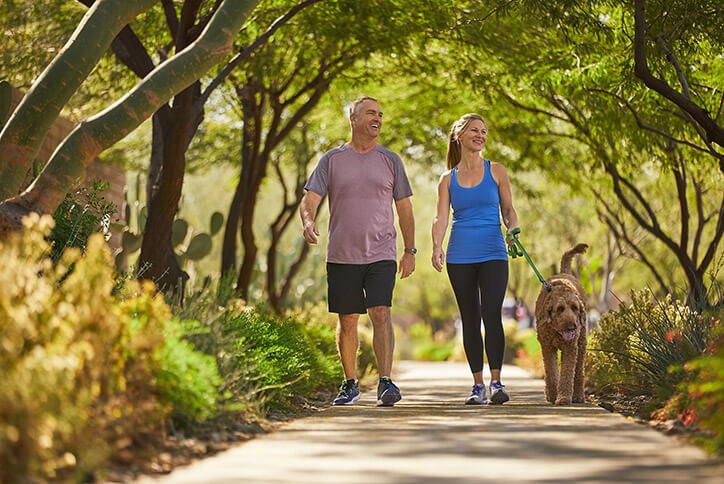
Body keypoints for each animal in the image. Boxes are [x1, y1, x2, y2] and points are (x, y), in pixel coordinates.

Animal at [536, 242, 588, 404]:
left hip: (581, 343)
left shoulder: (570, 347)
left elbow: (566, 373)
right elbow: (551, 372)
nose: (572, 327)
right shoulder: (547, 347)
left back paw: (578, 395)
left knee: (579, 371)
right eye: (559, 309)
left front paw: (564, 397)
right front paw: (553, 395)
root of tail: (564, 273)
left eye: (575, 308)